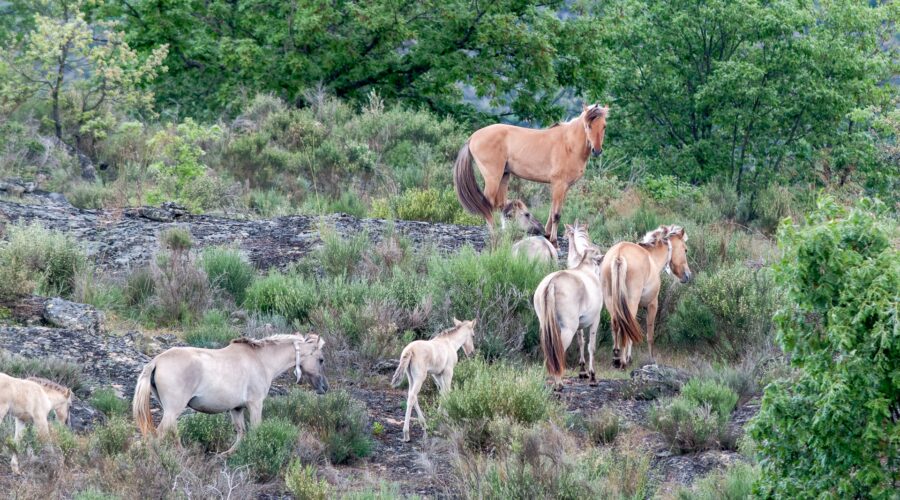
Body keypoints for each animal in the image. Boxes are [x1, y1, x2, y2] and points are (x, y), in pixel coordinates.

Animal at [133, 333, 328, 454]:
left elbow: (241, 432)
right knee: (158, 436)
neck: (261, 360)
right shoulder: (255, 404)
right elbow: (255, 430)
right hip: (173, 410)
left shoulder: (236, 409)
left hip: (170, 411)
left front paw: (227, 454)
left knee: (172, 433)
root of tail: (156, 361)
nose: (324, 387)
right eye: (321, 359)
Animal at [454, 104, 609, 245]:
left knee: (501, 205)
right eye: (588, 126)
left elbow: (552, 211)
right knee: (487, 204)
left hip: (504, 176)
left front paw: (547, 235)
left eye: (604, 126)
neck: (568, 144)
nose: (597, 150)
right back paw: (494, 233)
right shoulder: (559, 184)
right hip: (493, 178)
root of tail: (472, 137)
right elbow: (556, 214)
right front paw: (553, 240)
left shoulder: (563, 187)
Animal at [533, 247, 604, 390]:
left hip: (546, 327)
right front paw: (592, 377)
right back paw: (559, 383)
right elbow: (591, 347)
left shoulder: (580, 325)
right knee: (558, 351)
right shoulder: (595, 320)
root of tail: (552, 282)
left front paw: (582, 372)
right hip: (568, 329)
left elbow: (581, 342)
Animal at [601, 225, 692, 368]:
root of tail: (619, 256)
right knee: (624, 325)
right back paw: (622, 361)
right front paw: (651, 359)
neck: (652, 258)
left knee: (616, 324)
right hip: (631, 302)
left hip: (611, 302)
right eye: (685, 249)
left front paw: (629, 356)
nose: (688, 275)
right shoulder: (652, 304)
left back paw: (616, 358)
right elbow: (650, 334)